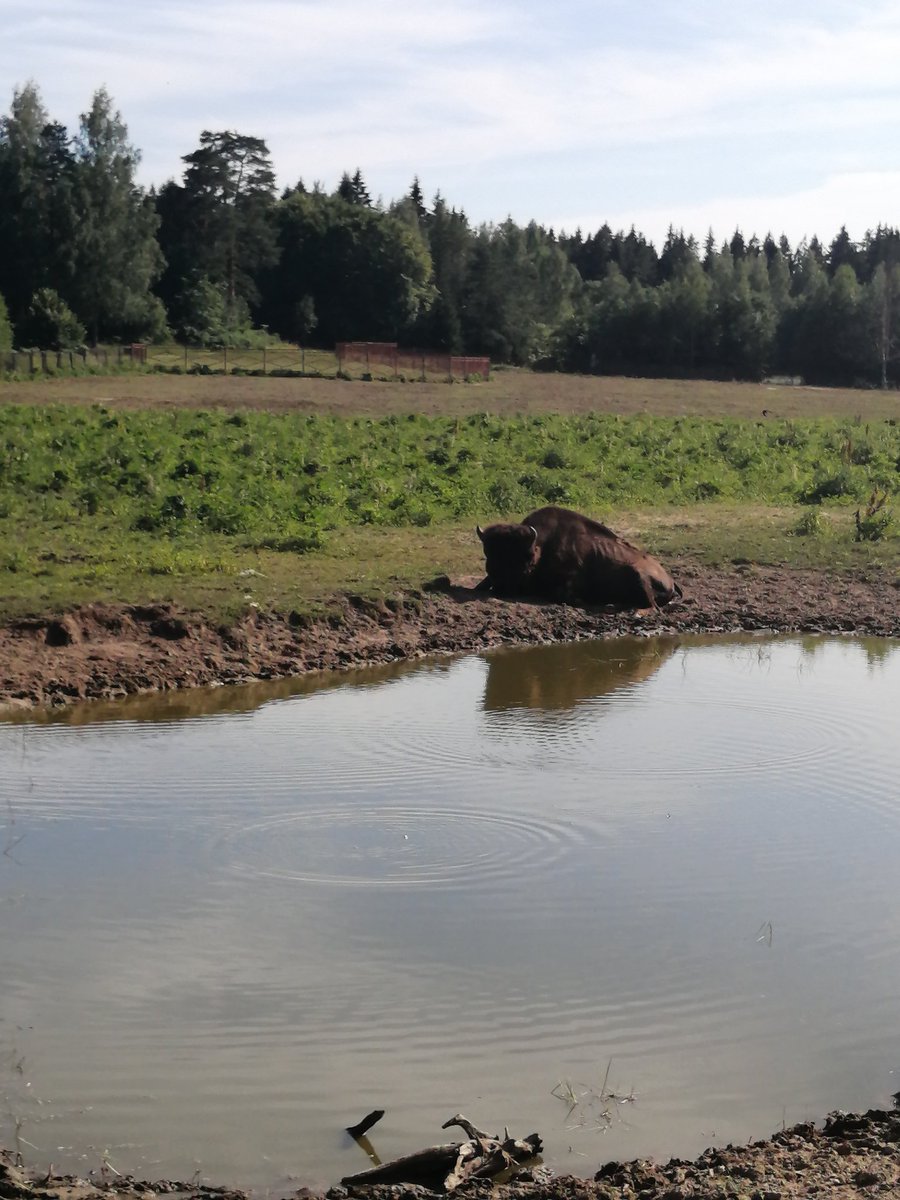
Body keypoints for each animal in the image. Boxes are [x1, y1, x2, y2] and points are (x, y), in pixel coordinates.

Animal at [475, 505, 681, 610]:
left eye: (526, 557)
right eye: (488, 553)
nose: (501, 586)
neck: (544, 545)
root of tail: (670, 579)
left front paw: (581, 601)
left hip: (637, 573)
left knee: (652, 606)